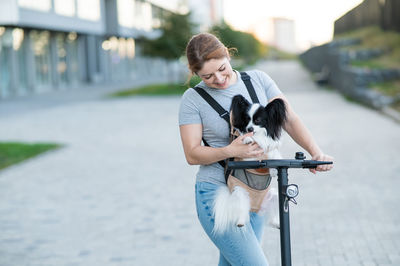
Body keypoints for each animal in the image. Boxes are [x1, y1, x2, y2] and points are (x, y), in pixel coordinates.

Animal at [211, 94, 286, 234]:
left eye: (258, 120)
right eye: (247, 119)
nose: (249, 128)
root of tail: (255, 208)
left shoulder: (270, 150)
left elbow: (274, 155)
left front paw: (273, 170)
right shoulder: (248, 157)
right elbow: (249, 141)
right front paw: (247, 138)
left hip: (274, 196)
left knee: (271, 216)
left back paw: (276, 223)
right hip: (240, 194)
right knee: (242, 210)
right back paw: (241, 221)